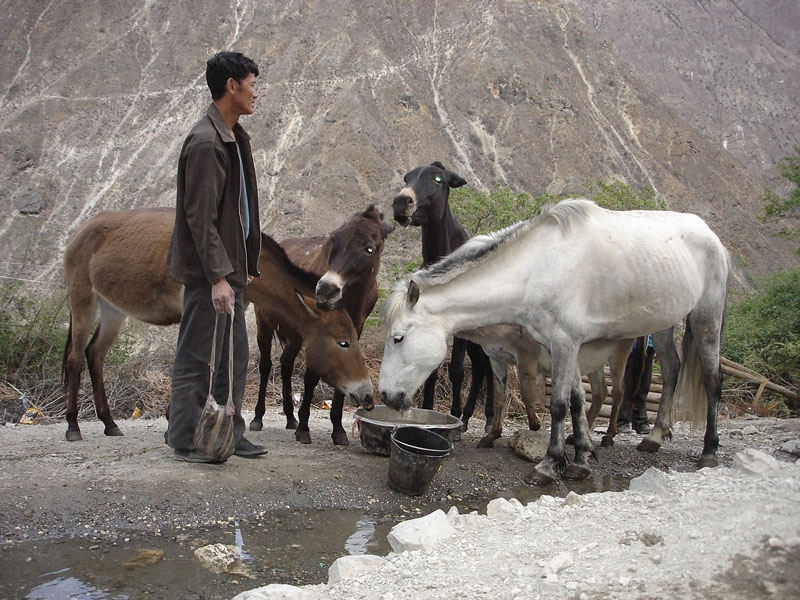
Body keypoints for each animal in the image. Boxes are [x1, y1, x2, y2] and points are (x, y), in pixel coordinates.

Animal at [62, 210, 376, 440]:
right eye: (343, 342)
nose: (368, 395)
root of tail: (80, 230)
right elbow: (197, 358)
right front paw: (176, 421)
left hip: (113, 310)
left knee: (95, 355)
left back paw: (109, 423)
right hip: (83, 300)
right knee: (75, 358)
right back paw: (73, 426)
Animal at [245, 206, 392, 446]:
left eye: (369, 248)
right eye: (334, 239)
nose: (324, 290)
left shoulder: (353, 330)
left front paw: (338, 429)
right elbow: (311, 377)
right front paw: (304, 428)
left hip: (295, 336)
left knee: (286, 364)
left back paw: (290, 417)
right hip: (264, 326)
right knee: (266, 365)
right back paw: (258, 418)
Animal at [378, 199, 728, 486]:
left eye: (398, 338)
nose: (386, 396)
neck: (539, 268)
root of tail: (709, 233)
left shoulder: (565, 342)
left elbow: (559, 405)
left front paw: (549, 465)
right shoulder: (559, 346)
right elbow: (575, 400)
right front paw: (580, 459)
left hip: (706, 317)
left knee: (712, 381)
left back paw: (709, 451)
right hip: (664, 325)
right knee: (671, 370)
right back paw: (654, 436)